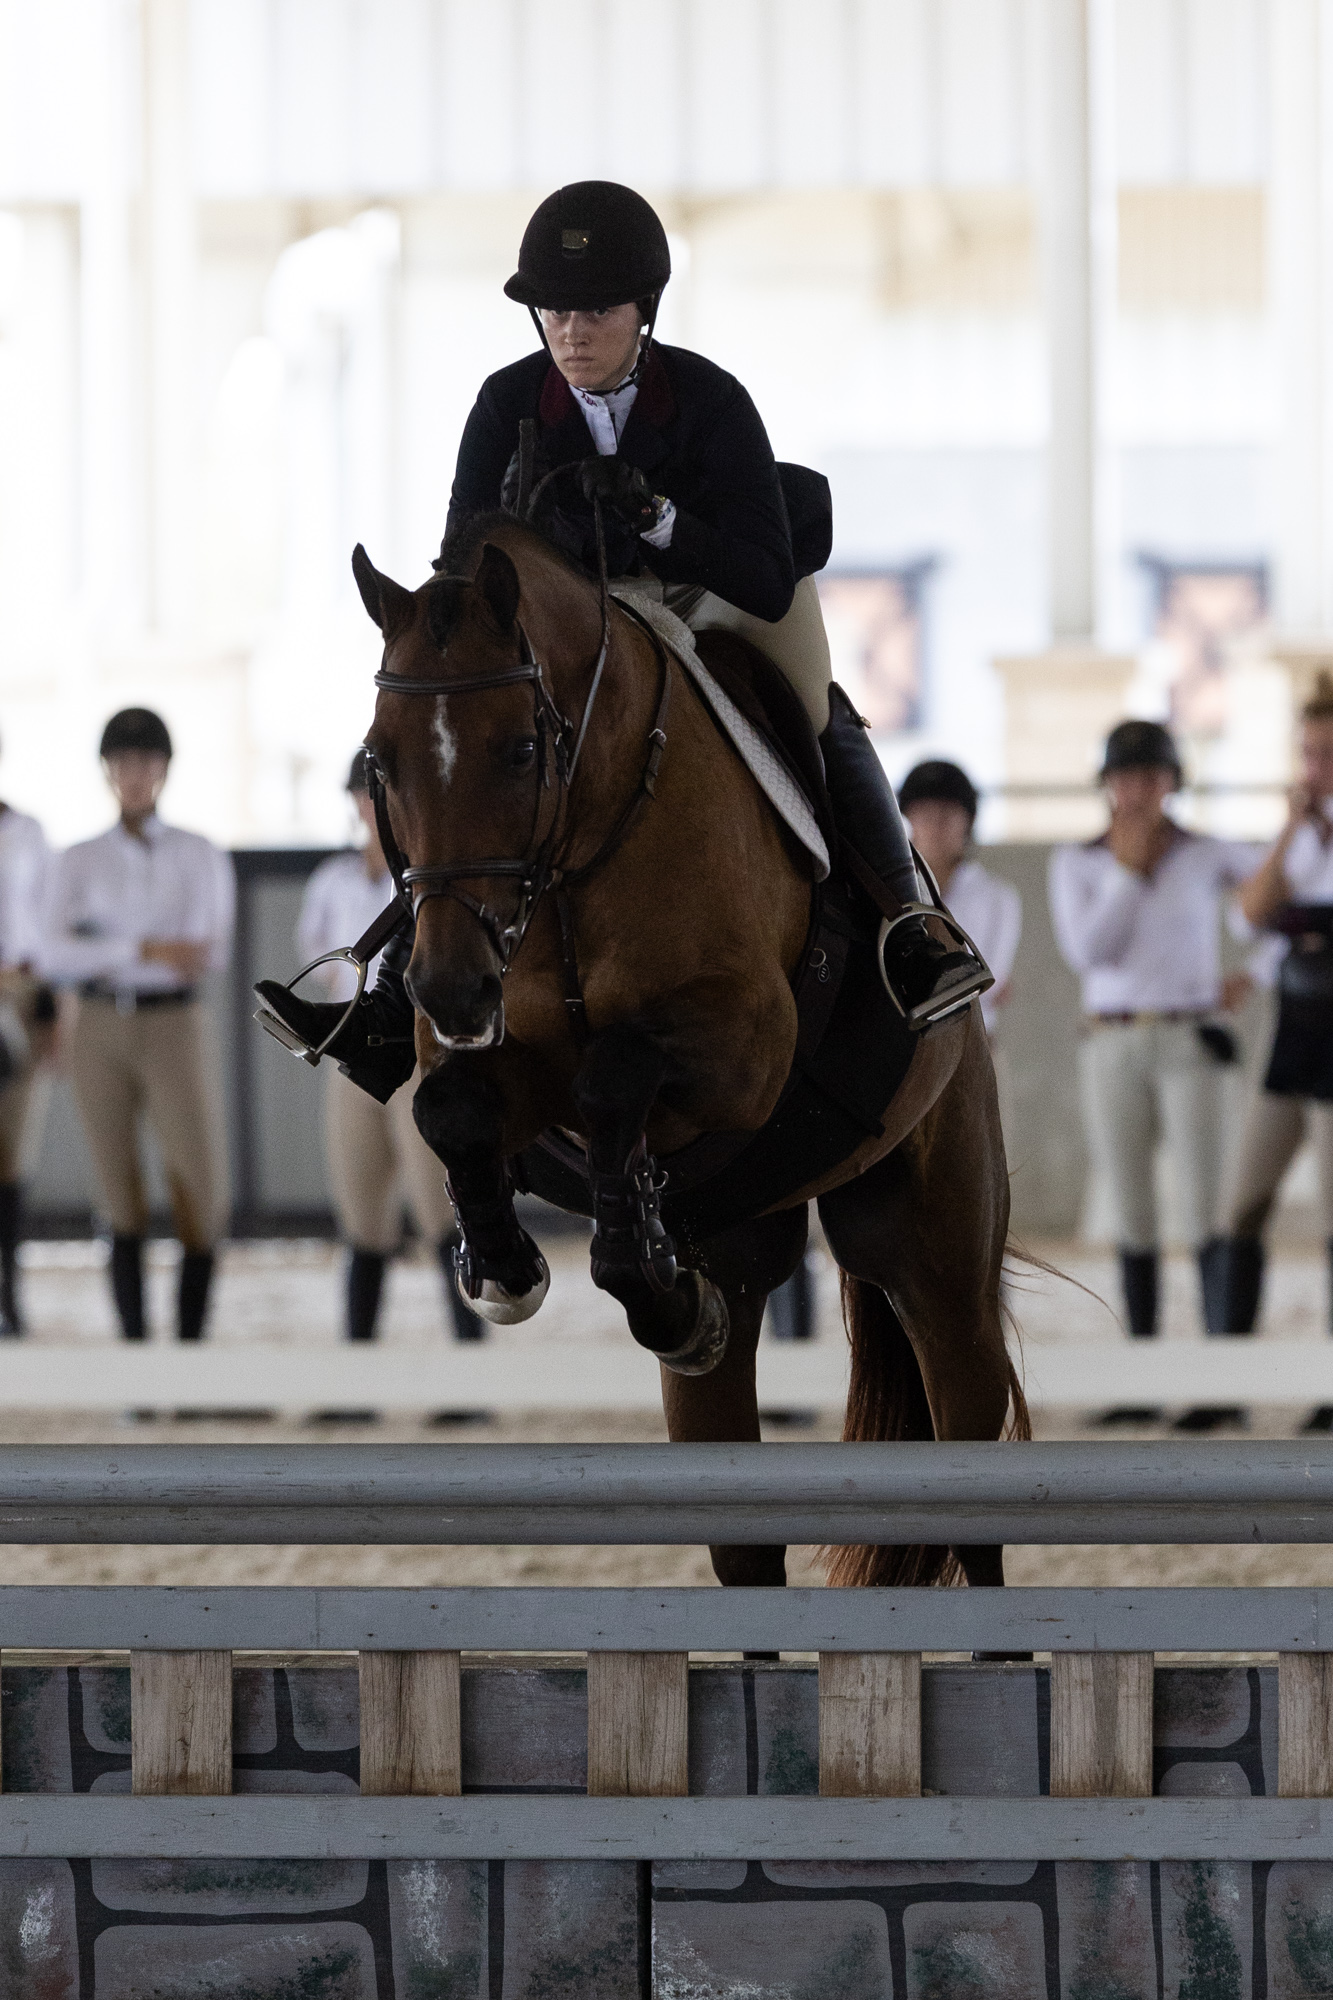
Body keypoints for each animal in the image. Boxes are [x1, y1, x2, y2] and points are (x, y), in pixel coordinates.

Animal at [348, 508, 1020, 1584]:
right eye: (381, 757)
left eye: (521, 749)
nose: (449, 986)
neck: (584, 845)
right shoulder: (500, 1063)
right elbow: (453, 1108)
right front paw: (507, 1265)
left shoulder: (746, 1048)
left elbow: (614, 1071)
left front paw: (636, 1267)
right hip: (747, 1257)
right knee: (742, 1533)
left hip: (936, 1255)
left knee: (972, 1482)